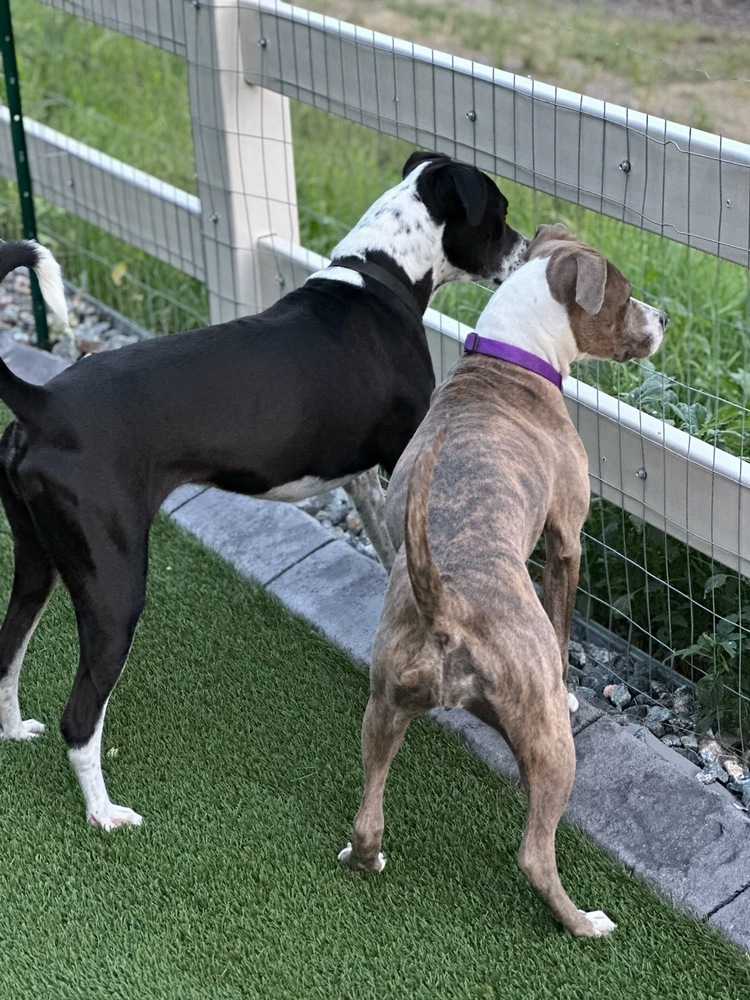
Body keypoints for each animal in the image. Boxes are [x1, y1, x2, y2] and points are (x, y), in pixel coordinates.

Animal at [0, 152, 528, 832]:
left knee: (8, 648)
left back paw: (15, 732)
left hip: (37, 560)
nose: (527, 249)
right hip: (114, 588)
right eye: (499, 213)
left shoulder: (364, 480)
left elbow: (398, 561)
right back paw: (105, 814)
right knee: (81, 713)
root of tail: (43, 404)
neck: (381, 271)